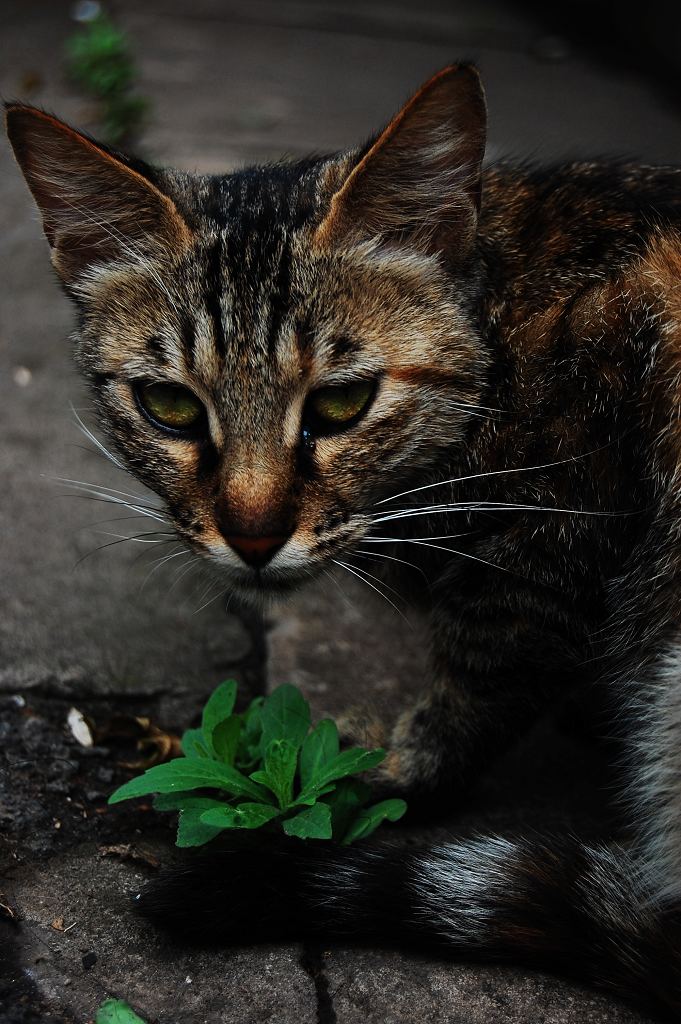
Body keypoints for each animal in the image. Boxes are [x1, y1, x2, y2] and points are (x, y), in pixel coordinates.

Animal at [7, 64, 679, 1015]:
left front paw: (382, 772)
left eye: (341, 403)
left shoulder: (551, 532)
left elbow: (480, 680)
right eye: (169, 405)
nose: (252, 536)